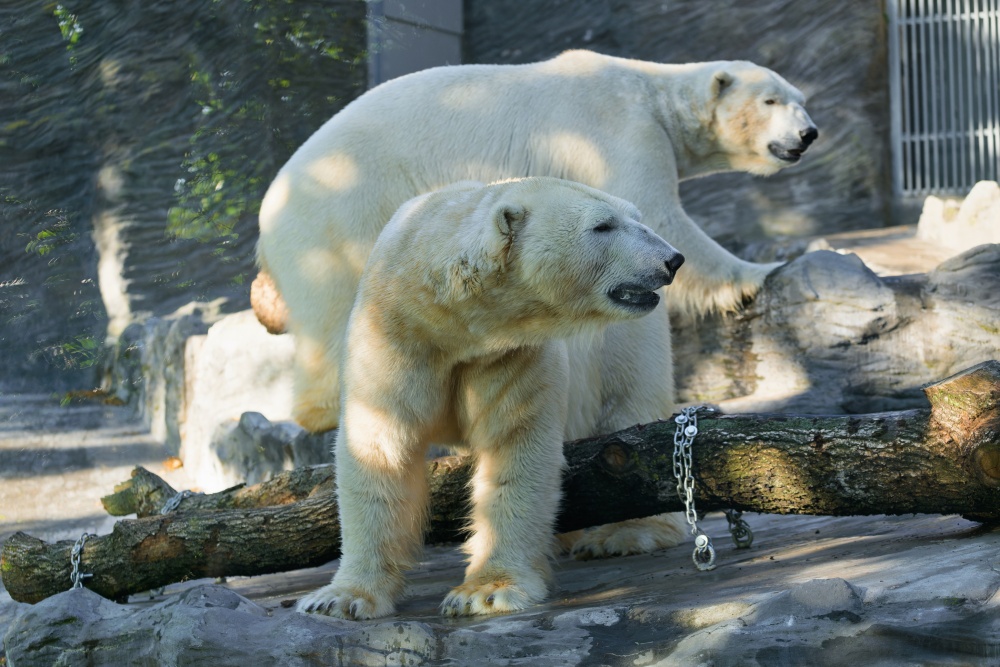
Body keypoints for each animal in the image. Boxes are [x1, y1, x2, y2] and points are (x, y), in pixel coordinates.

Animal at [258, 48, 820, 560]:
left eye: (800, 98)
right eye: (771, 99)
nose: (808, 134)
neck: (651, 91)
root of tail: (266, 221)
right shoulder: (615, 135)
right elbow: (661, 214)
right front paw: (764, 271)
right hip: (339, 217)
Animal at [296, 177, 688, 620]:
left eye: (637, 217)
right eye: (602, 225)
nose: (673, 260)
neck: (453, 322)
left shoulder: (510, 353)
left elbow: (514, 449)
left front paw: (485, 592)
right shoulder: (394, 334)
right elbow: (378, 446)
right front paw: (339, 598)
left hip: (621, 342)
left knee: (630, 404)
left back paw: (626, 535)